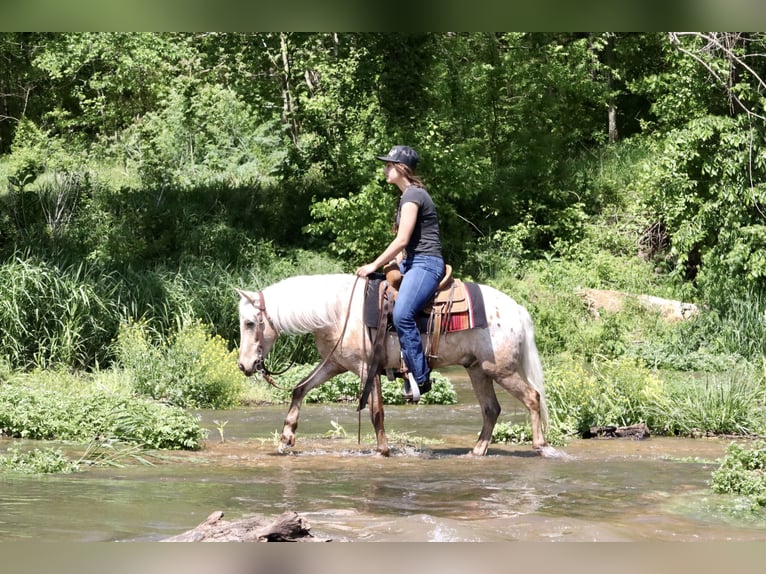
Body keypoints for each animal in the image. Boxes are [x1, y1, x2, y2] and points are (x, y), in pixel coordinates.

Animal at [236, 274, 560, 460]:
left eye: (250, 323)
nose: (244, 365)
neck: (339, 311)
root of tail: (517, 309)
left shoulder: (366, 368)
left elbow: (376, 412)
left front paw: (383, 450)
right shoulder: (336, 364)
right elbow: (300, 389)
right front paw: (286, 439)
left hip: (500, 370)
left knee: (532, 398)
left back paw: (540, 446)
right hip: (477, 369)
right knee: (492, 409)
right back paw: (477, 451)